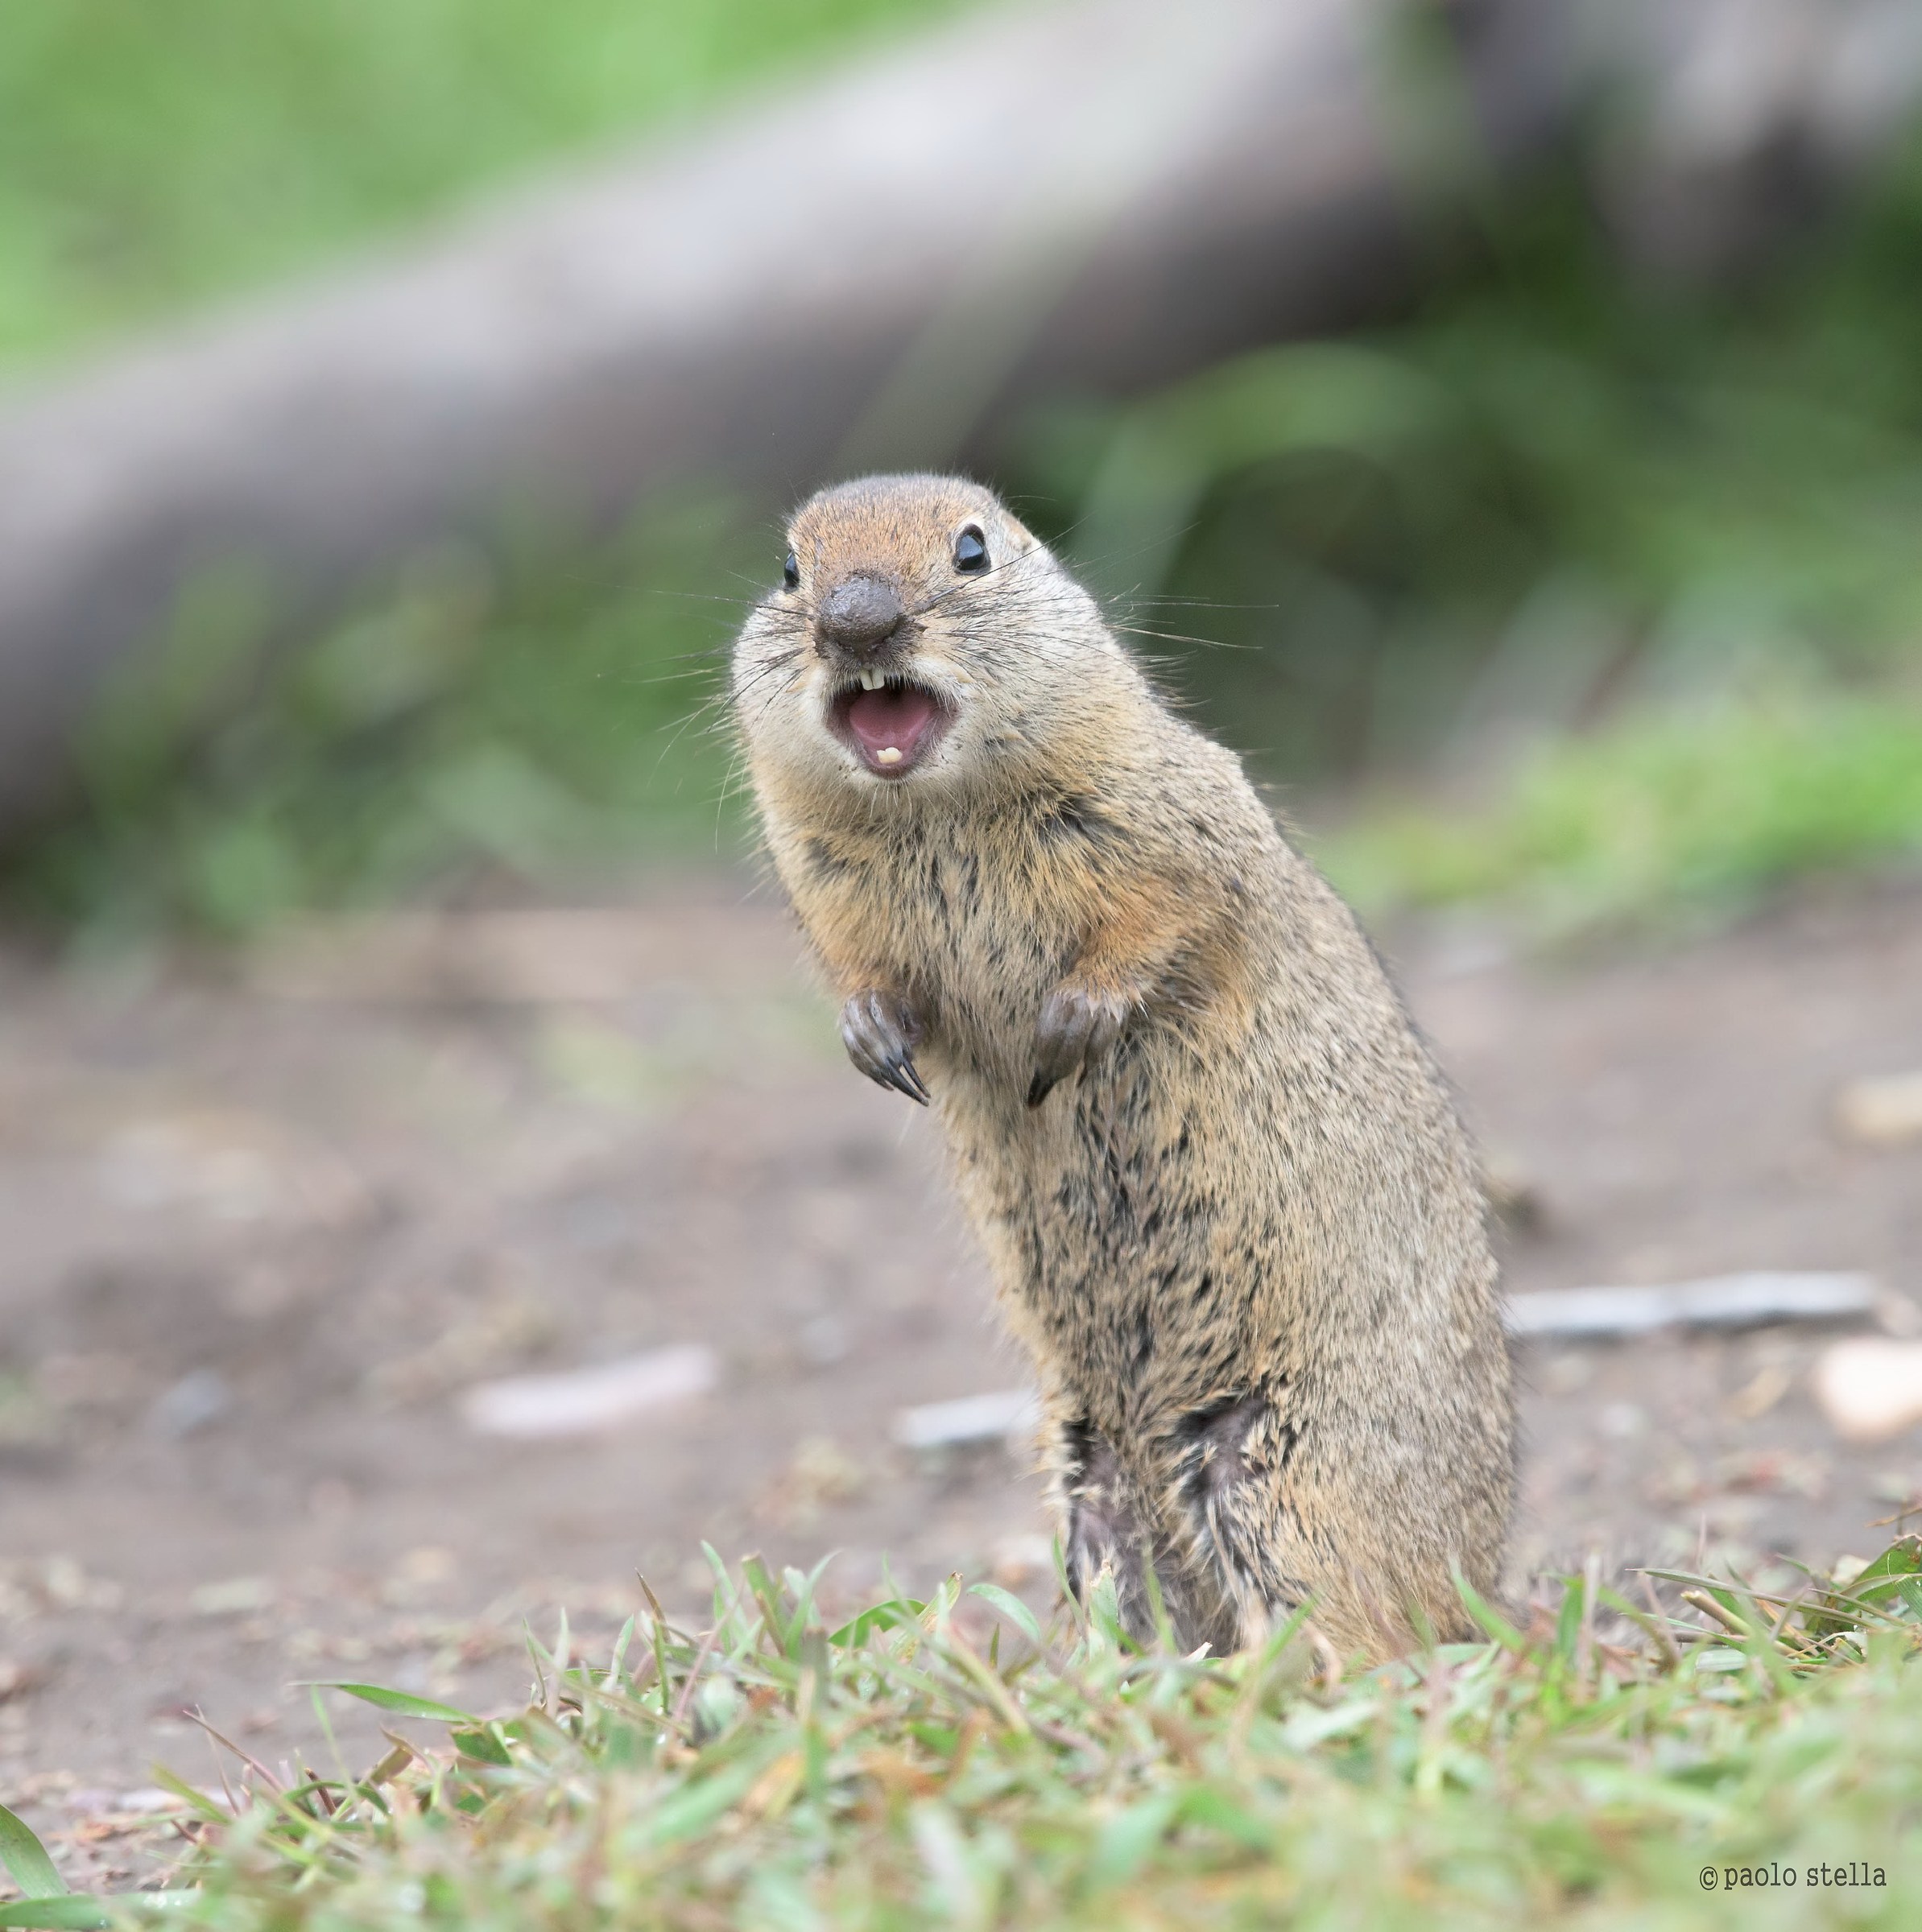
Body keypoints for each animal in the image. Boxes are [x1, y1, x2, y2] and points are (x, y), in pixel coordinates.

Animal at [731, 472, 1514, 1658]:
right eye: (787, 570)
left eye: (971, 549)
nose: (855, 620)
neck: (936, 814)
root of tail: (1486, 1577)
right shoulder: (821, 886)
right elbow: (861, 973)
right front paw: (874, 1042)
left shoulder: (1171, 819)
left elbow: (1168, 921)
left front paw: (1067, 1029)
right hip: (1091, 1485)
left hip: (1280, 1481)